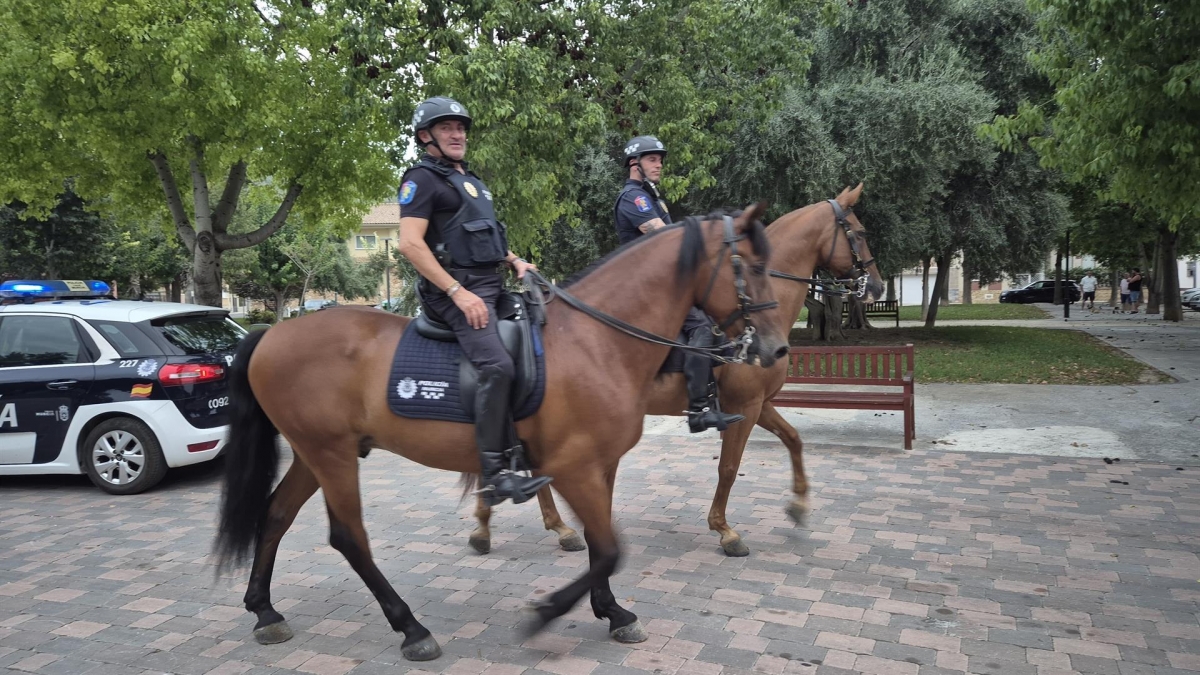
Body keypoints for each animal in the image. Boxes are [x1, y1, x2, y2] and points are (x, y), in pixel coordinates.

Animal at [212, 206, 791, 662]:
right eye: (752, 266)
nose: (776, 348)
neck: (596, 340)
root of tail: (270, 335)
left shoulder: (599, 465)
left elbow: (601, 543)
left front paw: (610, 610)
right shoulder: (574, 467)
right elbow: (607, 548)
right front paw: (550, 611)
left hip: (313, 453)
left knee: (276, 515)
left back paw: (265, 611)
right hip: (330, 454)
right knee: (348, 537)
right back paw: (411, 628)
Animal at [471, 185, 885, 558]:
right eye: (860, 232)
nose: (878, 287)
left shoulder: (759, 404)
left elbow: (794, 439)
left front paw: (798, 505)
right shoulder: (745, 406)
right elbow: (729, 467)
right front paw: (725, 530)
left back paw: (545, 526)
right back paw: (506, 526)